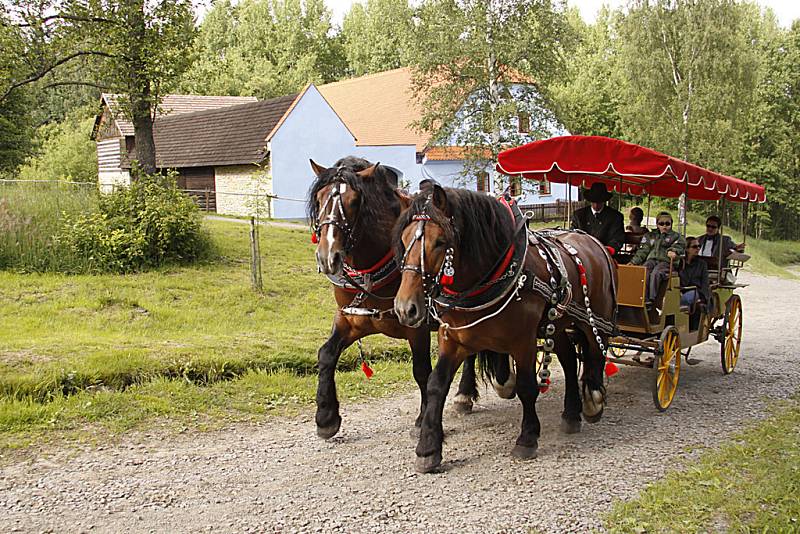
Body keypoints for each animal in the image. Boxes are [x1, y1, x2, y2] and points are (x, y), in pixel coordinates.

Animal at [306, 156, 512, 440]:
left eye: (354, 201)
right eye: (319, 199)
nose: (328, 256)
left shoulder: (418, 326)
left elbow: (421, 370)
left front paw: (423, 419)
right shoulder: (349, 319)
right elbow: (326, 354)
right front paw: (326, 416)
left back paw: (470, 392)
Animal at [394, 183, 620, 474]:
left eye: (440, 242)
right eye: (403, 240)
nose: (405, 308)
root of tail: (596, 244)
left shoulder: (523, 341)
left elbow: (526, 387)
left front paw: (527, 438)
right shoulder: (453, 339)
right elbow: (436, 384)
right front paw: (428, 447)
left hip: (595, 318)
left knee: (595, 351)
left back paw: (593, 399)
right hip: (556, 325)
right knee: (570, 360)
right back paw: (571, 413)